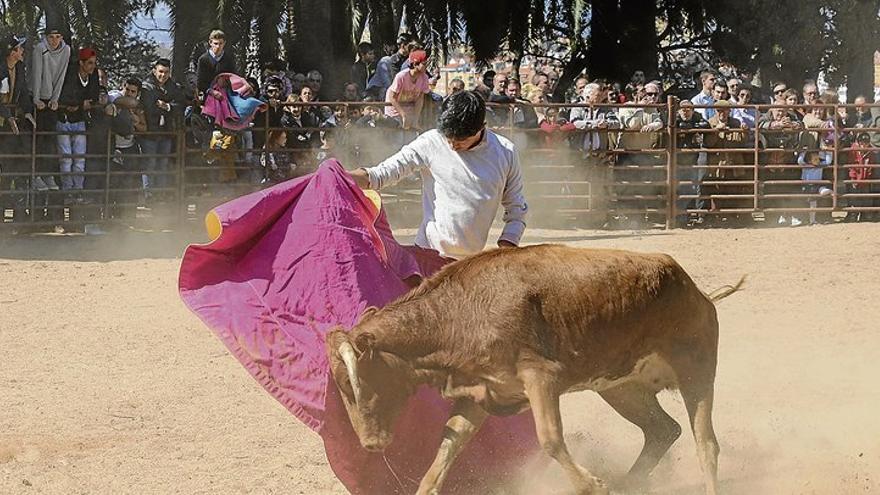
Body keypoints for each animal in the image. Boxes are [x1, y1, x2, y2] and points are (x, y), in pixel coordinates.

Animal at [326, 245, 740, 495]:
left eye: (349, 382)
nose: (370, 443)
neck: (458, 313)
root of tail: (695, 290)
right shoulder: (482, 393)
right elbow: (446, 449)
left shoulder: (541, 378)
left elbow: (551, 439)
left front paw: (594, 484)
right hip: (621, 388)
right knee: (662, 430)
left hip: (696, 371)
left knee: (706, 444)